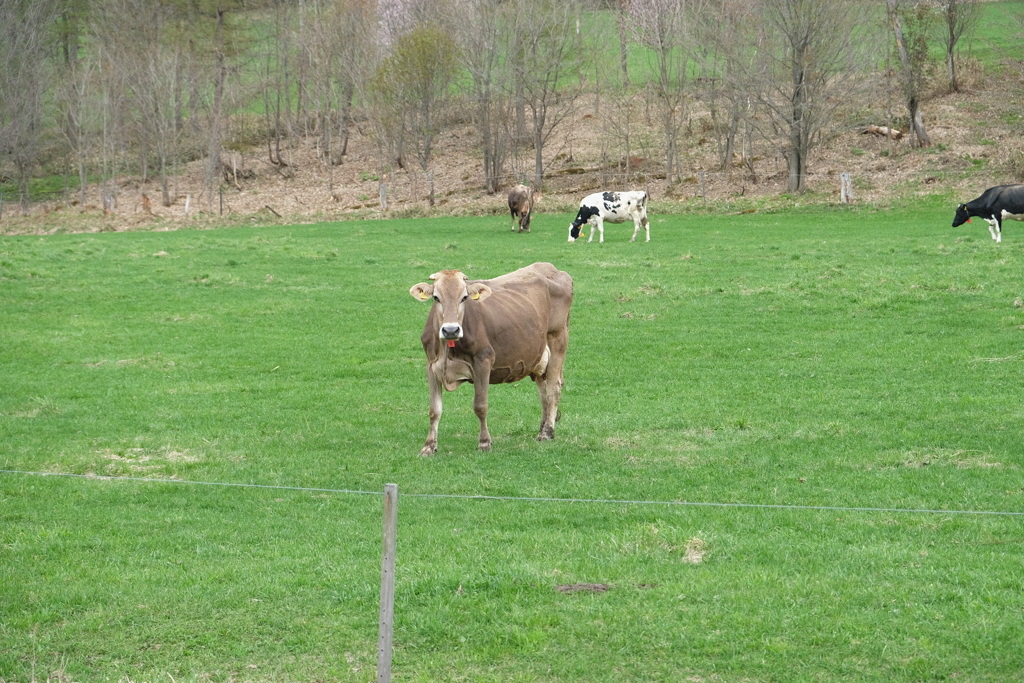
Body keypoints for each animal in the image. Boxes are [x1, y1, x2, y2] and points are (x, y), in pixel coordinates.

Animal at [407, 264, 573, 456]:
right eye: (436, 297)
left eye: (464, 297)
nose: (450, 330)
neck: (447, 351)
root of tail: (550, 267)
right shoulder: (431, 366)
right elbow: (434, 410)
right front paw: (429, 446)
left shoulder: (483, 361)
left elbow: (480, 406)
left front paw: (485, 442)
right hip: (538, 356)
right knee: (543, 391)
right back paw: (542, 429)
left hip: (558, 338)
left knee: (553, 387)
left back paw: (547, 432)